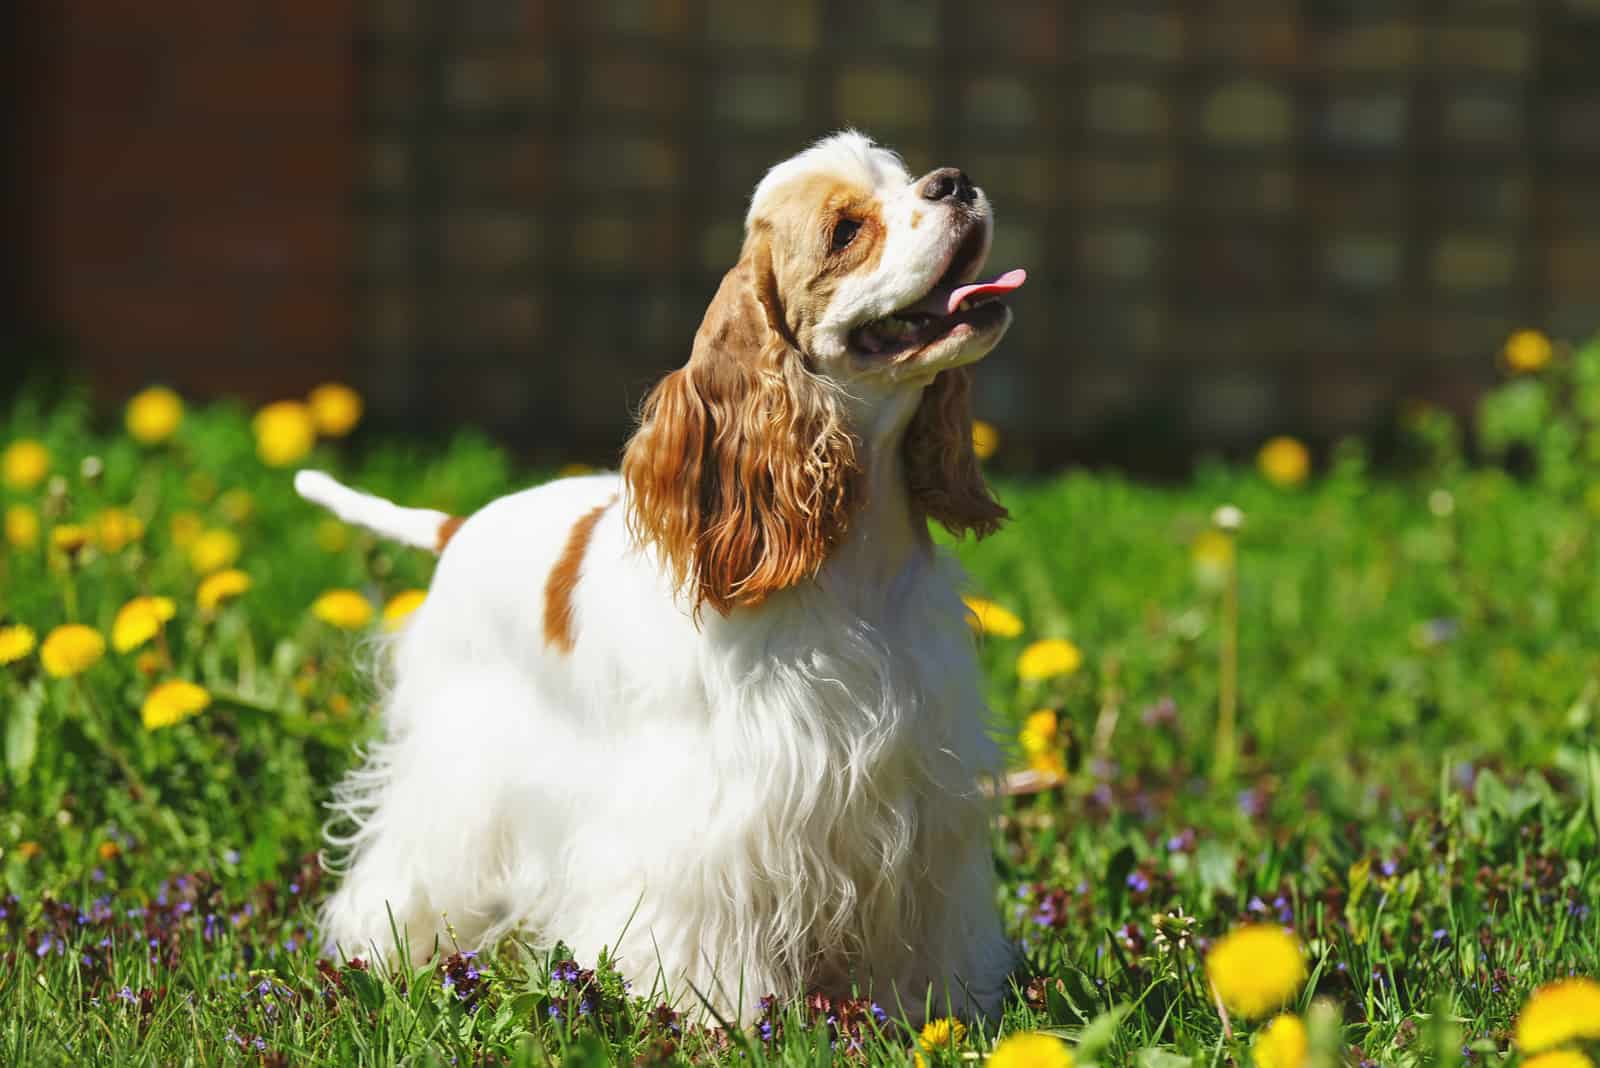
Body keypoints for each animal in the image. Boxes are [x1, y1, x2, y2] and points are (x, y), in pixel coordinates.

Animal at [296, 129, 1030, 1023]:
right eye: (846, 231)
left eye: (905, 177)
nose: (955, 181)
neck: (851, 556)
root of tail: (462, 524)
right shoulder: (715, 822)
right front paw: (714, 1017)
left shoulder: (921, 797)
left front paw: (932, 1011)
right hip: (457, 773)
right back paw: (383, 950)